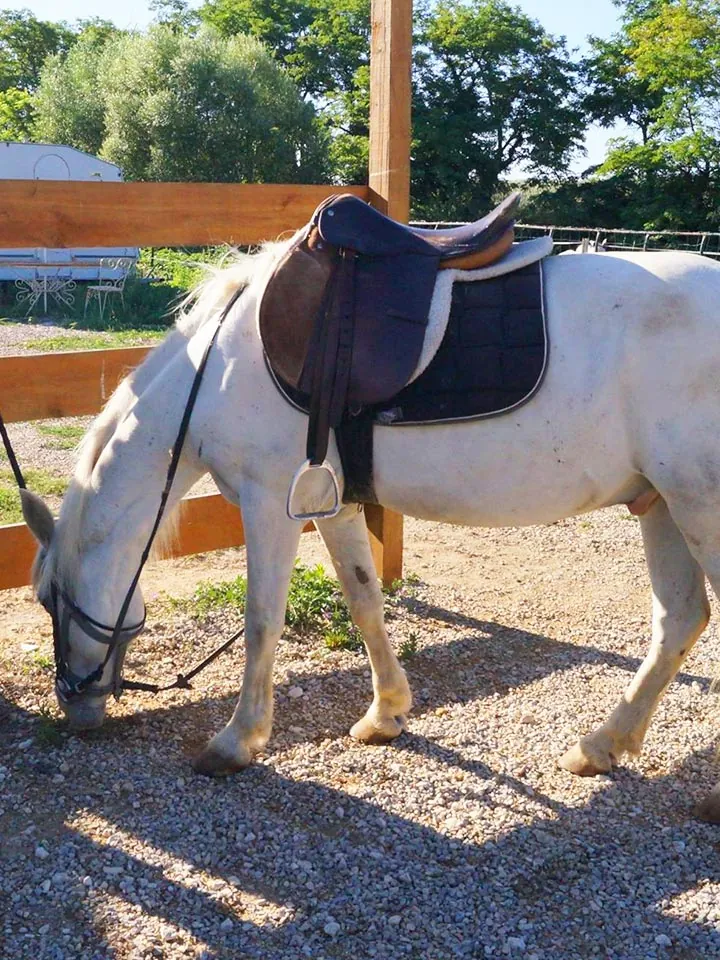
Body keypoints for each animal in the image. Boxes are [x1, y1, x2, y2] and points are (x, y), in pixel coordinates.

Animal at [20, 238, 720, 822]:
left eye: (50, 599)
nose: (75, 708)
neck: (213, 370)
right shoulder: (333, 504)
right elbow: (363, 600)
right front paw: (385, 713)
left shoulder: (269, 501)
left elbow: (262, 621)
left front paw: (237, 741)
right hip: (662, 505)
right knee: (679, 620)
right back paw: (602, 745)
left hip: (697, 507)